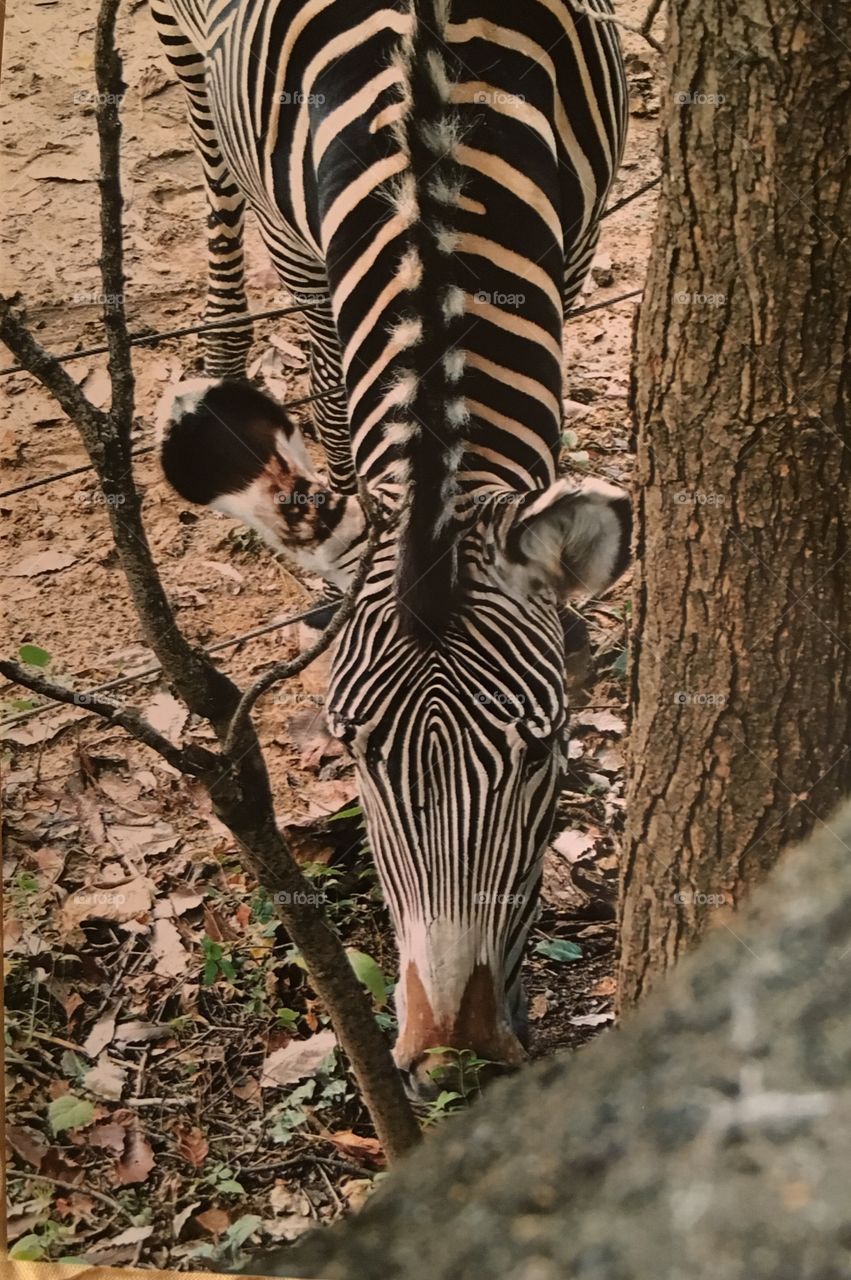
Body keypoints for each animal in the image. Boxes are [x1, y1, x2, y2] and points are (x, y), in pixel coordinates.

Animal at [152, 0, 629, 1100]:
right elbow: (333, 398)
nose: (451, 1051)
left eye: (543, 749)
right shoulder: (304, 252)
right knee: (203, 157)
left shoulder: (576, 240)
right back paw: (223, 348)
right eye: (354, 749)